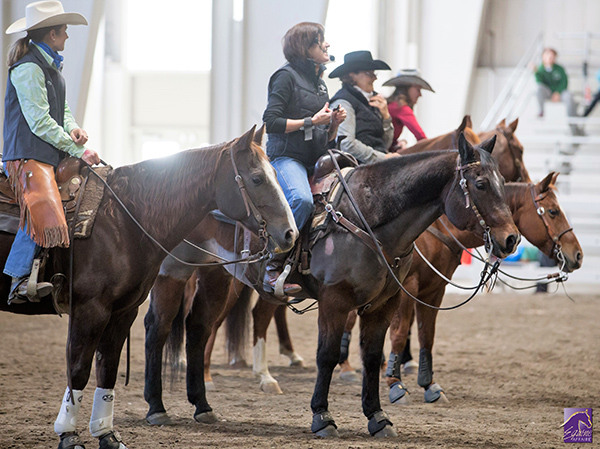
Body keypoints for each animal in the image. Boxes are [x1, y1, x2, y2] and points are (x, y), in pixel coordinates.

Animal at [0, 126, 298, 448]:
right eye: (256, 178)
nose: (290, 233)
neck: (123, 219)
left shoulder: (123, 310)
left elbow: (108, 368)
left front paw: (107, 434)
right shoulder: (89, 309)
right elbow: (79, 368)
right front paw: (68, 435)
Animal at [145, 135, 520, 436]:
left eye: (502, 181)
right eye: (481, 184)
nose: (511, 239)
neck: (366, 217)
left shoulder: (383, 305)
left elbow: (372, 357)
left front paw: (377, 417)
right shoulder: (334, 302)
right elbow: (326, 355)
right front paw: (322, 417)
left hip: (216, 275)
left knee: (198, 327)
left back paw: (202, 406)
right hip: (171, 269)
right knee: (158, 326)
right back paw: (157, 407)